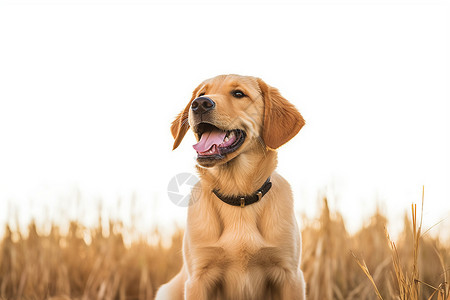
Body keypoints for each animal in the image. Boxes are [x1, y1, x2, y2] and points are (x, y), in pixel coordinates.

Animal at [156, 74, 308, 298]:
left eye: (238, 93)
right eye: (202, 93)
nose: (199, 104)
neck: (238, 196)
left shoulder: (290, 275)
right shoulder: (198, 278)